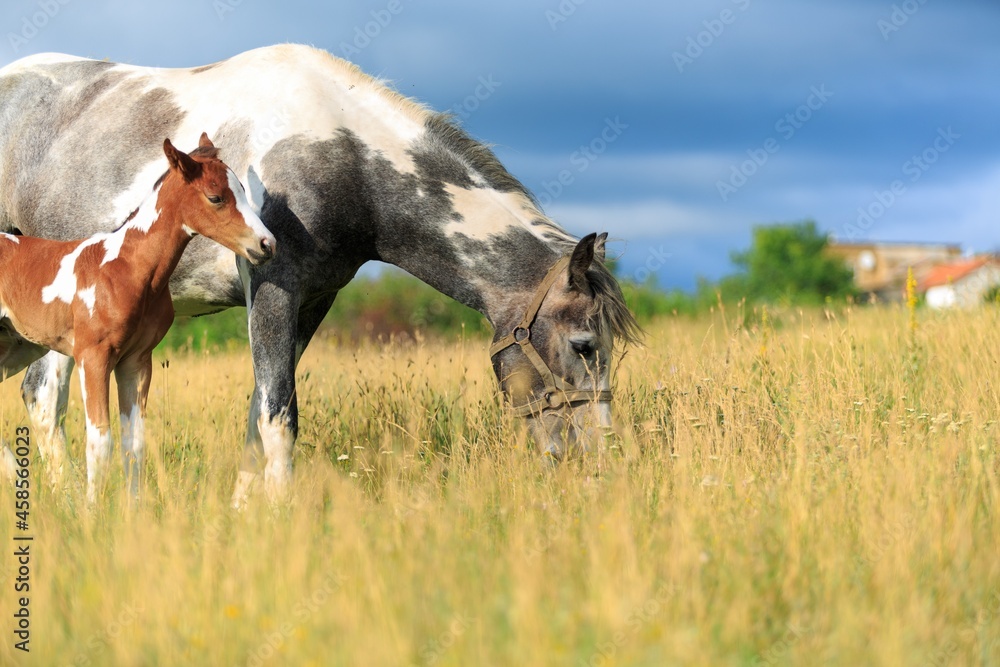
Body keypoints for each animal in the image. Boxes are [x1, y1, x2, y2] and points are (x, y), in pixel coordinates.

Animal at [0, 136, 276, 500]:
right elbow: (100, 441)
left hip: (14, 349)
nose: (267, 244)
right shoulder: (93, 357)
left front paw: (133, 508)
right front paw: (91, 510)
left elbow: (134, 444)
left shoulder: (136, 361)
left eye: (243, 190)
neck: (127, 267)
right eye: (215, 197)